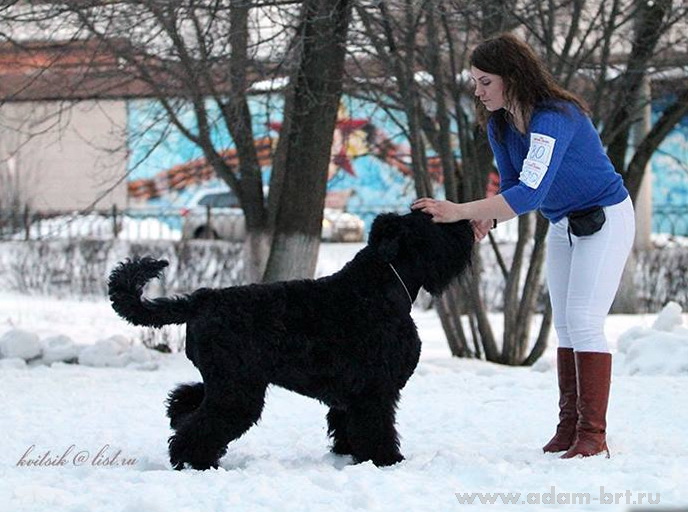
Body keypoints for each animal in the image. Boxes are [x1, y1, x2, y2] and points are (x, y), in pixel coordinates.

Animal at [108, 210, 473, 469]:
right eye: (433, 222)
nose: (467, 221)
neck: (379, 286)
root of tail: (201, 298)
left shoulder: (352, 396)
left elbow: (347, 426)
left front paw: (350, 456)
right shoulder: (375, 391)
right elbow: (377, 428)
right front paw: (387, 460)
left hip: (227, 383)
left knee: (185, 402)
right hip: (238, 389)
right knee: (201, 426)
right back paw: (195, 461)